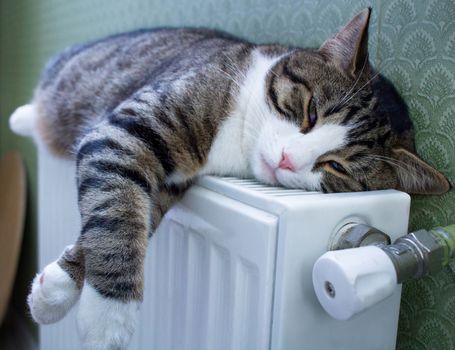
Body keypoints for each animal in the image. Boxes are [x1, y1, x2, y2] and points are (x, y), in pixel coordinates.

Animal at [8, 8, 450, 350]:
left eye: (337, 167)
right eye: (310, 112)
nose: (288, 160)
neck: (239, 133)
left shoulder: (171, 177)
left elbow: (131, 214)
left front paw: (58, 288)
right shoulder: (125, 131)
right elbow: (117, 213)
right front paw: (107, 318)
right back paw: (24, 116)